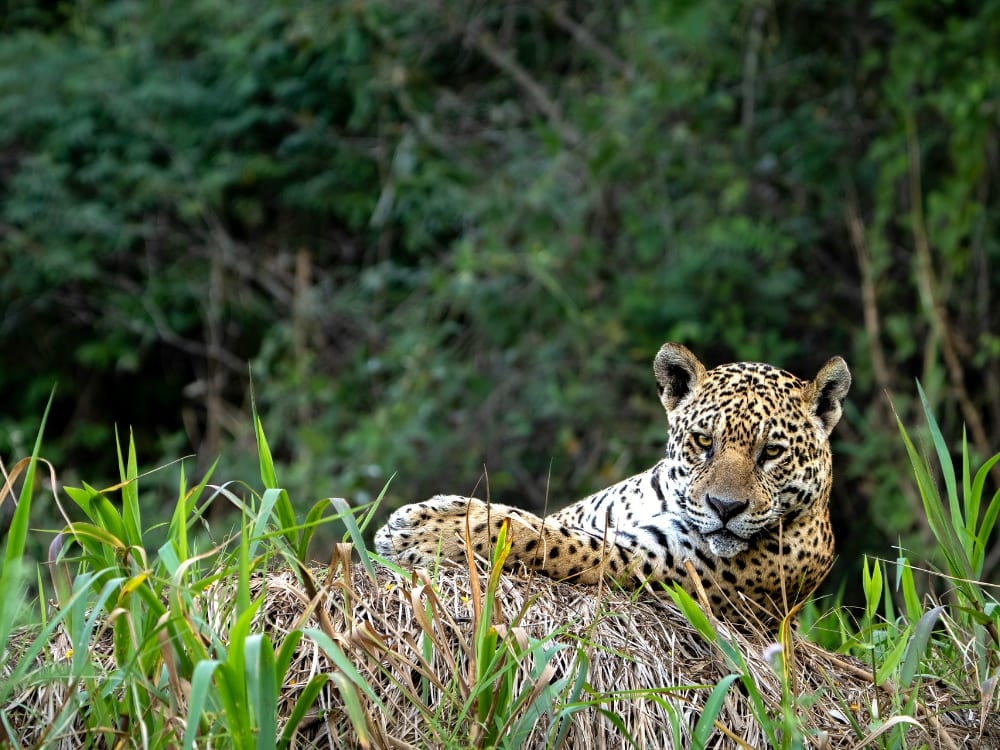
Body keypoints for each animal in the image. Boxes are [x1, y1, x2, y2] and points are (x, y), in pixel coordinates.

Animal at [374, 343, 851, 621]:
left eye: (771, 452)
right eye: (703, 441)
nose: (725, 507)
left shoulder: (655, 563)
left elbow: (548, 538)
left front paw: (425, 531)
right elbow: (535, 519)